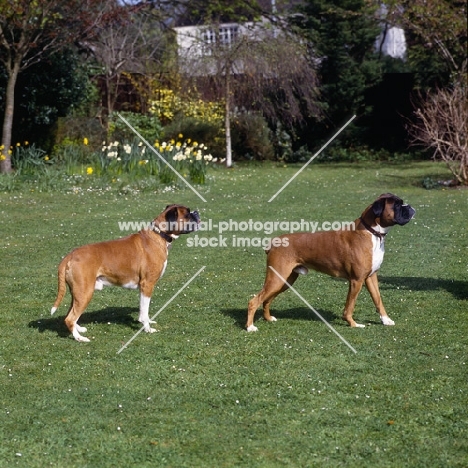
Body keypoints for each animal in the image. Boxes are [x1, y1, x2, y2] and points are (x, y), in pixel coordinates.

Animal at [52, 204, 200, 340]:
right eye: (187, 214)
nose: (196, 212)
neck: (158, 235)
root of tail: (70, 255)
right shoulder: (148, 285)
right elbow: (145, 309)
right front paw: (148, 328)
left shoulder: (142, 288)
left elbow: (143, 309)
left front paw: (146, 321)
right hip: (85, 292)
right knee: (70, 318)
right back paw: (79, 338)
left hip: (78, 292)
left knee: (71, 313)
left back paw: (79, 329)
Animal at [247, 193, 414, 330]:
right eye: (397, 205)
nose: (411, 207)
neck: (371, 232)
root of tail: (273, 243)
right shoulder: (356, 280)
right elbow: (350, 306)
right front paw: (353, 324)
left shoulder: (371, 277)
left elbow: (378, 300)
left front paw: (386, 320)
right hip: (277, 279)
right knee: (254, 301)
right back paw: (250, 327)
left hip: (285, 280)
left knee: (266, 300)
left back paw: (268, 318)